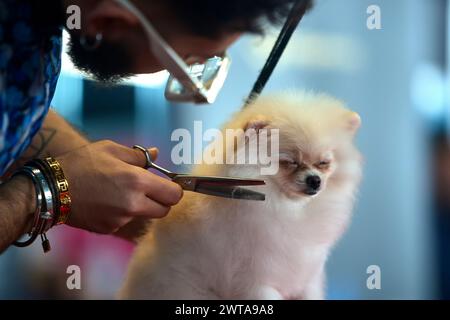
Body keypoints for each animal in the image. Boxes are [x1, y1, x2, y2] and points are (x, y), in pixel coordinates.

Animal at [118, 91, 362, 298]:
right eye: (289, 162)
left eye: (324, 163)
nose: (315, 180)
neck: (286, 208)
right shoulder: (256, 282)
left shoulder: (308, 278)